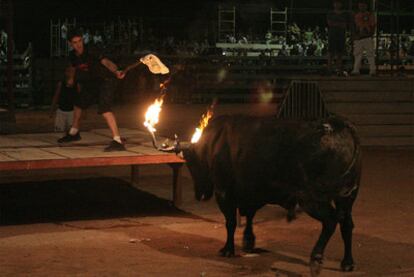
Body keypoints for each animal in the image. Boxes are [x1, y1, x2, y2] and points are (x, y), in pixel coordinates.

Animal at [180, 113, 360, 272]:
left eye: (191, 163)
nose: (200, 195)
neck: (214, 142)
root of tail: (338, 124)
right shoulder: (251, 193)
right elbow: (249, 216)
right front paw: (248, 241)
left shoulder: (223, 192)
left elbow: (230, 222)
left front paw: (228, 249)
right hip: (347, 197)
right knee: (346, 223)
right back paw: (347, 263)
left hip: (312, 199)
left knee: (330, 221)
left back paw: (316, 258)